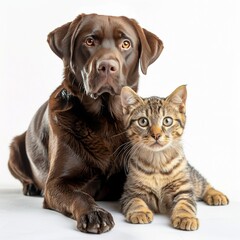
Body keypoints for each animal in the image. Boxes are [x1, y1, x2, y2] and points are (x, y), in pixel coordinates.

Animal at [7, 12, 163, 232]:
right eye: (89, 41)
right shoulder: (56, 183)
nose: (107, 66)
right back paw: (30, 186)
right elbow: (80, 195)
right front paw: (95, 213)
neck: (106, 120)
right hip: (14, 148)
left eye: (126, 44)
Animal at [120, 86, 229, 231]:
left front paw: (185, 217)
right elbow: (135, 201)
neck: (157, 162)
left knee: (203, 183)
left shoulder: (184, 190)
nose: (156, 135)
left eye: (167, 121)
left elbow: (185, 204)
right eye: (143, 121)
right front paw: (140, 212)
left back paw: (216, 194)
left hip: (191, 177)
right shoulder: (130, 192)